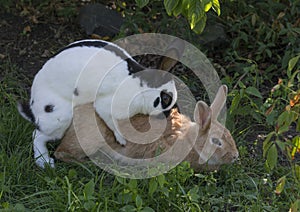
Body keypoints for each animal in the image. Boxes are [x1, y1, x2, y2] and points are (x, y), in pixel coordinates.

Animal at [18, 39, 183, 168]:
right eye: (165, 98)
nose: (168, 116)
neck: (141, 89)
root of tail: (33, 107)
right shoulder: (107, 105)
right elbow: (110, 121)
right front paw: (121, 140)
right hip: (59, 118)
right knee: (37, 135)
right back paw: (45, 162)